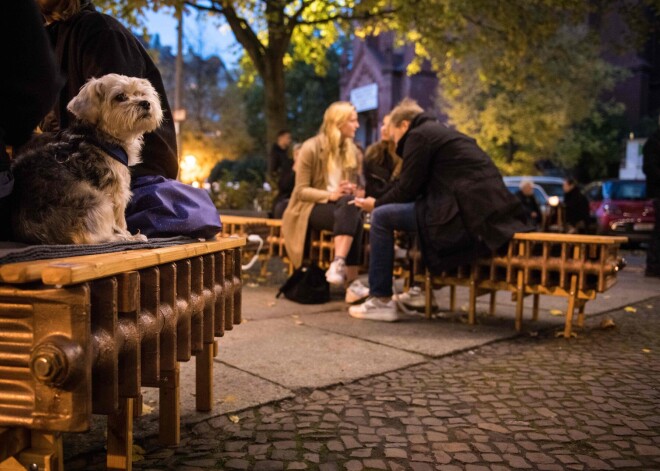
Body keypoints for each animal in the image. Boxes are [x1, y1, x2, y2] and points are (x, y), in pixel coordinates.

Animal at [11, 74, 162, 243]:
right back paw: (128, 238)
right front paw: (128, 234)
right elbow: (120, 219)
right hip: (99, 203)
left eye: (141, 93)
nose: (146, 103)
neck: (101, 137)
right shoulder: (116, 190)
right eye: (120, 97)